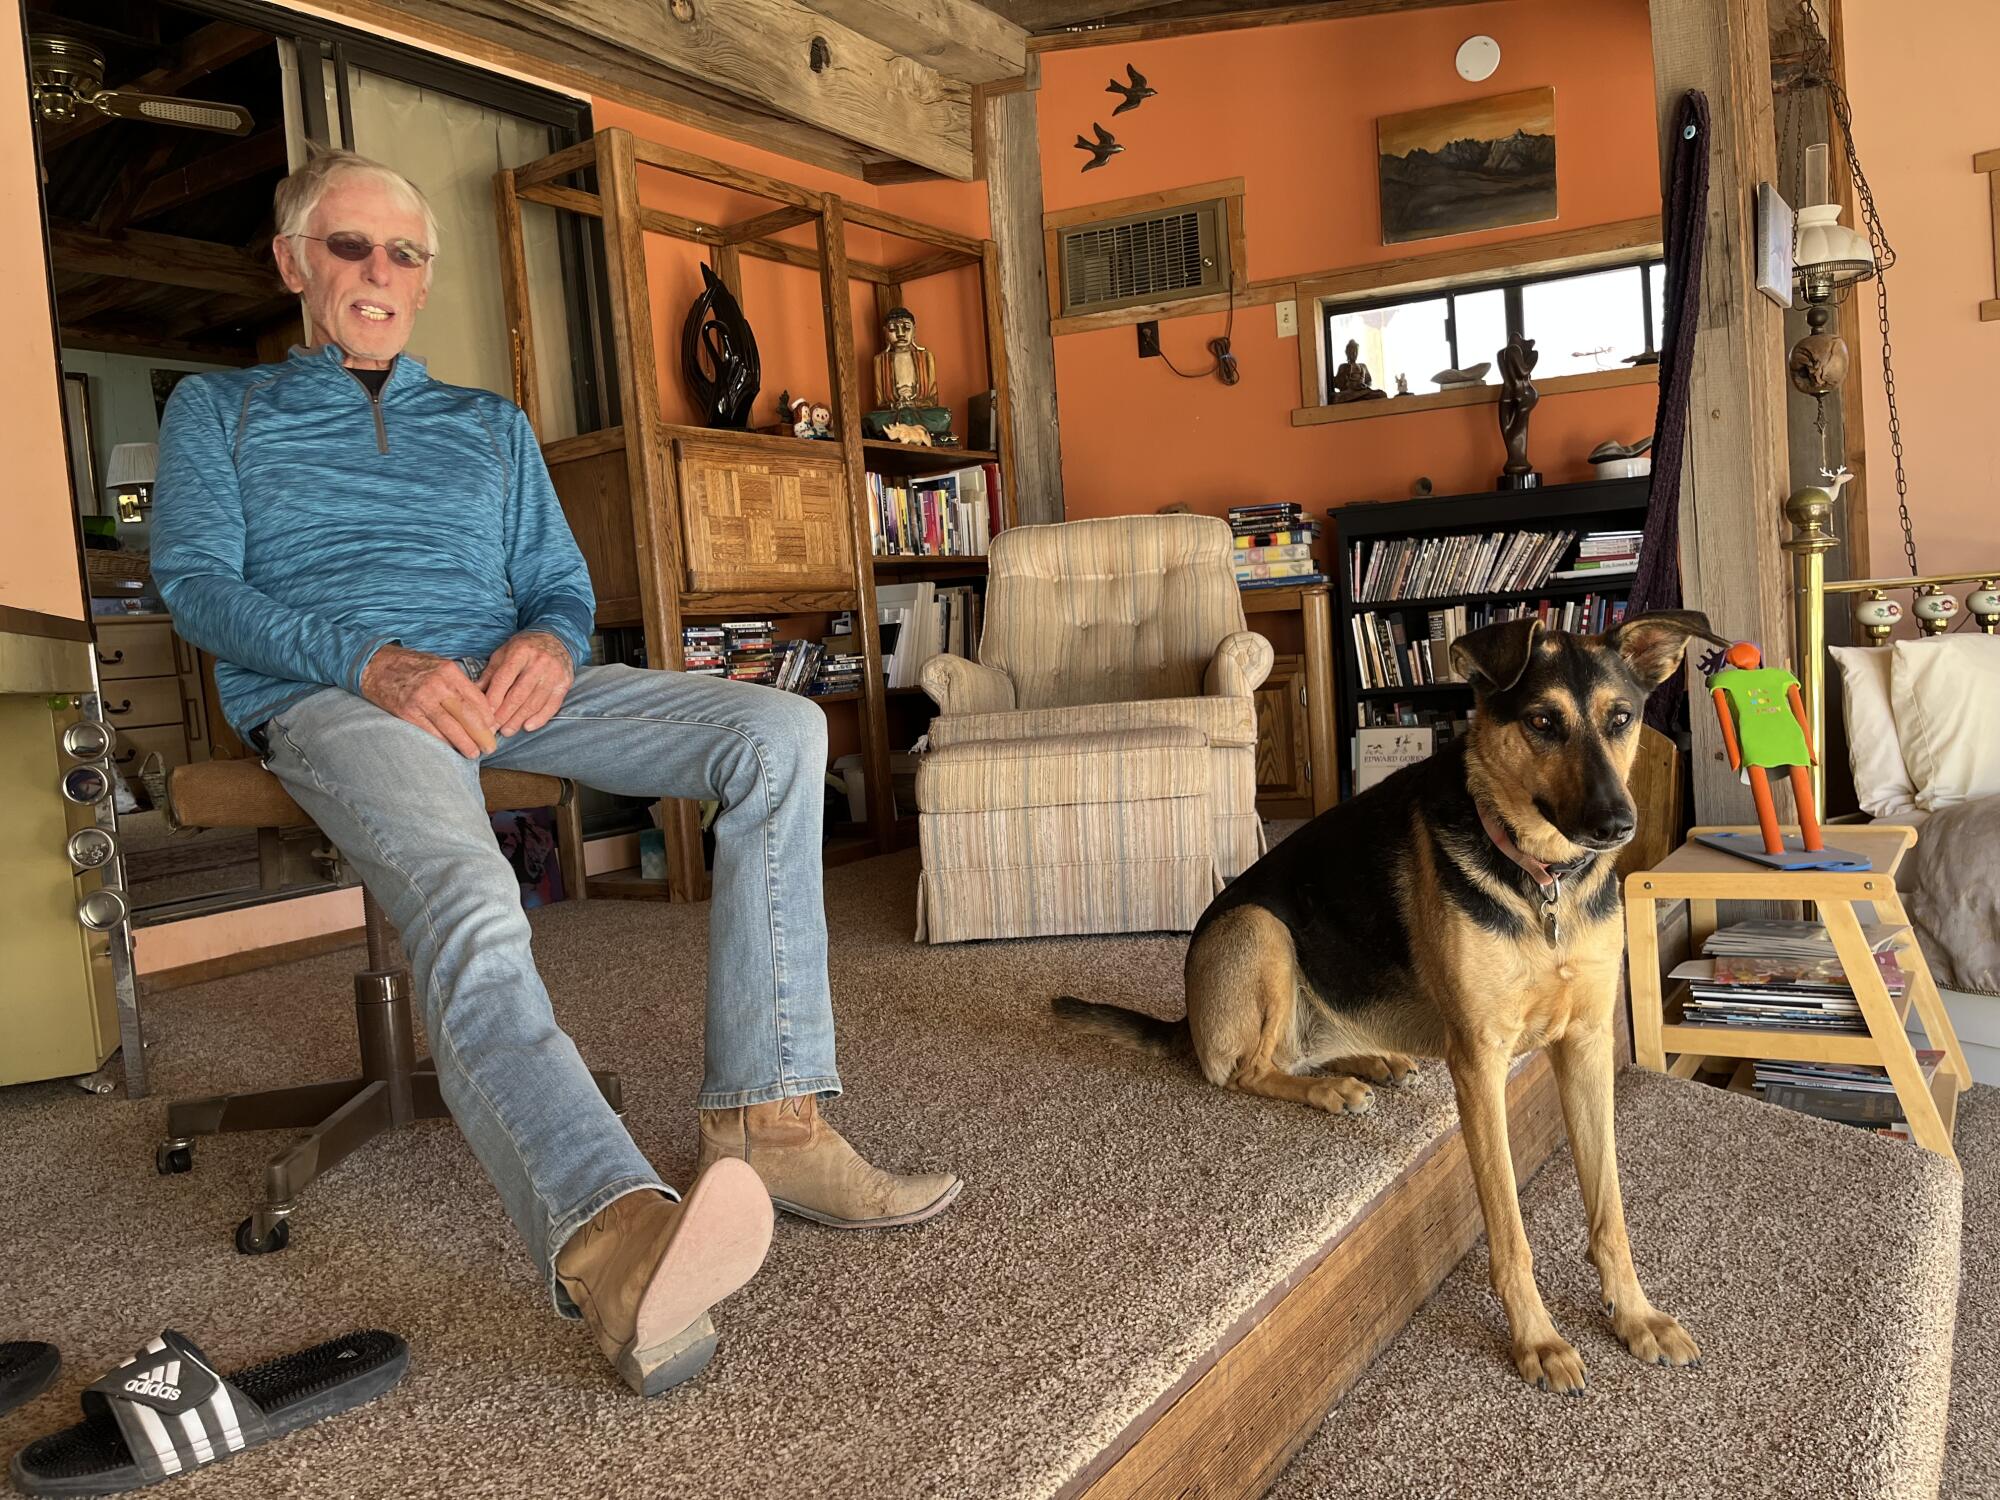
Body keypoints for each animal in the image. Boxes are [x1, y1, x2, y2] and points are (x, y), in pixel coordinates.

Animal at [1064, 612, 1720, 1400]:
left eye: (1621, 719)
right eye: (1542, 722)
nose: (1618, 824)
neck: (1540, 880)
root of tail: (1189, 1021)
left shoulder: (1588, 1044)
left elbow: (1609, 1209)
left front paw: (1636, 1314)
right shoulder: (1480, 1067)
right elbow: (1510, 1230)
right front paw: (1536, 1338)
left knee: (1290, 1051)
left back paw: (1371, 1061)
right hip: (1259, 928)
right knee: (1247, 1068)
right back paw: (1334, 1089)